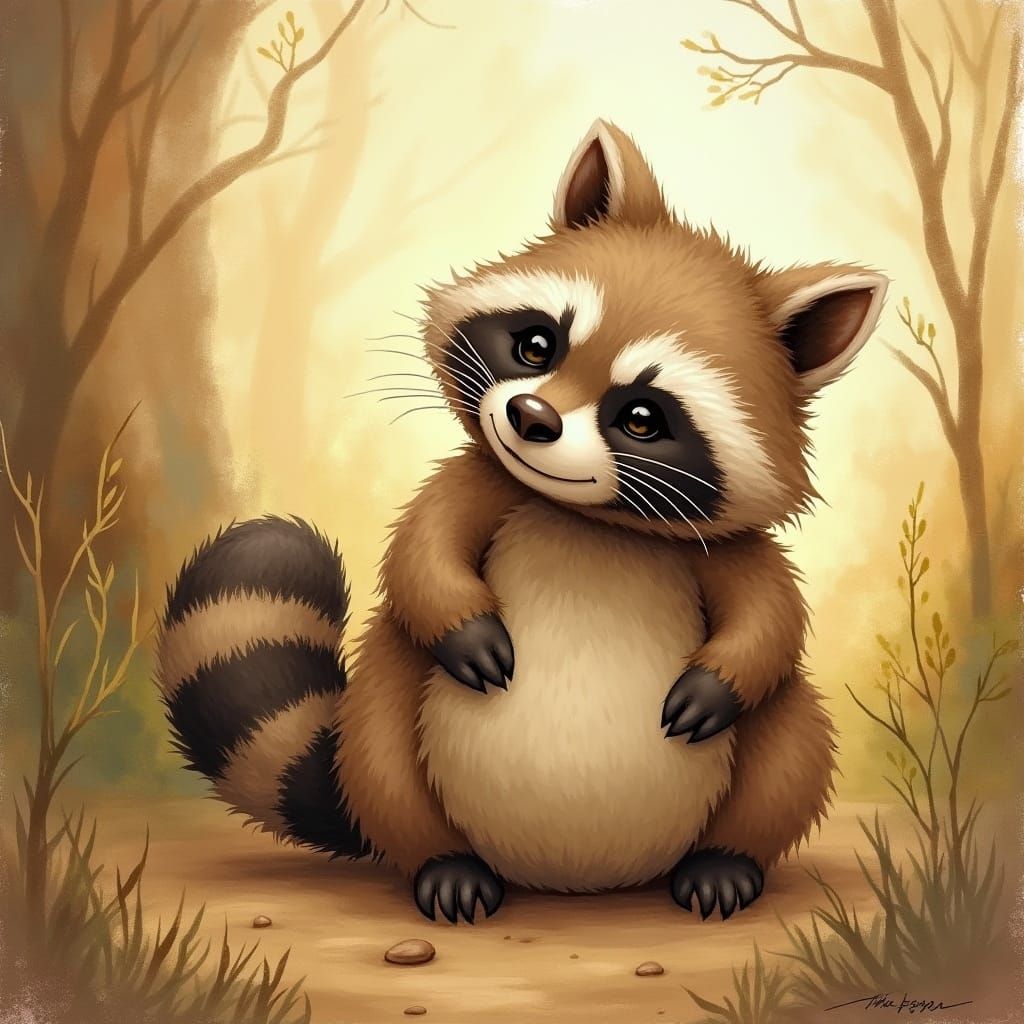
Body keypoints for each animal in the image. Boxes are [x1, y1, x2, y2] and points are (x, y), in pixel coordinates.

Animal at [156, 120, 887, 924]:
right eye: (538, 345)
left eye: (641, 417)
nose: (530, 416)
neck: (591, 520)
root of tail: (571, 877)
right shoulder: (483, 485)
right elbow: (421, 556)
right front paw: (462, 622)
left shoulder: (722, 545)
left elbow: (772, 620)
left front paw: (721, 681)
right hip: (391, 720)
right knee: (383, 753)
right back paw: (443, 862)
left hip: (766, 757)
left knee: (793, 740)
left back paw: (728, 858)